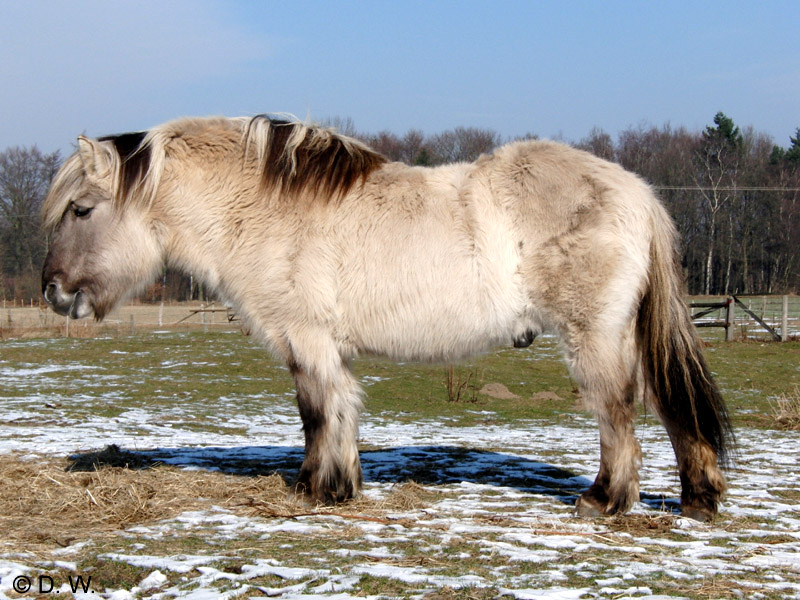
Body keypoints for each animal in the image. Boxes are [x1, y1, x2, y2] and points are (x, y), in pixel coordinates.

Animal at [42, 113, 732, 520]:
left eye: (81, 209)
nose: (53, 291)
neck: (266, 210)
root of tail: (639, 194)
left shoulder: (305, 338)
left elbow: (317, 411)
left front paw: (317, 488)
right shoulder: (323, 344)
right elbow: (340, 410)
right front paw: (338, 483)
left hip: (593, 335)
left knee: (617, 411)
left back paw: (605, 499)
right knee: (668, 405)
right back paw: (698, 499)